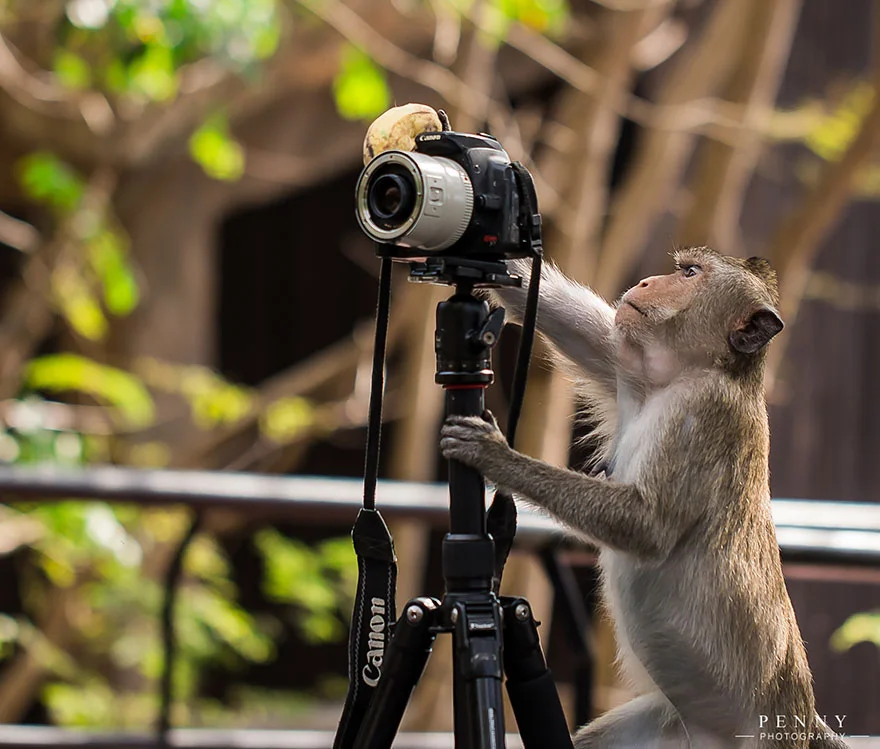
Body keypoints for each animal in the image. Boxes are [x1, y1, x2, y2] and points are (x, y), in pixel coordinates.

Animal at [440, 250, 852, 748]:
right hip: (671, 726)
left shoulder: (709, 412)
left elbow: (645, 526)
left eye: (690, 274)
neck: (699, 371)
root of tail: (802, 715)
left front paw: (495, 455)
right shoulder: (634, 366)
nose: (647, 281)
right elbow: (562, 316)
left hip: (770, 737)